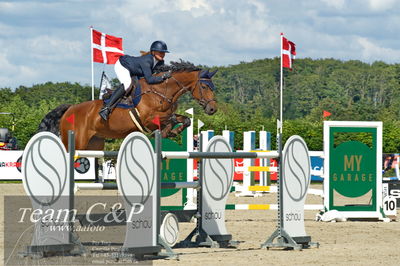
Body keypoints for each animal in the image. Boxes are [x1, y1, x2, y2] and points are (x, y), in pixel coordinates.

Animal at [37, 61, 217, 151]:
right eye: (204, 87)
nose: (212, 109)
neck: (161, 91)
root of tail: (69, 109)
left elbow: (184, 119)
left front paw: (172, 132)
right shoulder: (148, 119)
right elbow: (171, 119)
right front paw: (166, 131)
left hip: (94, 143)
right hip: (75, 142)